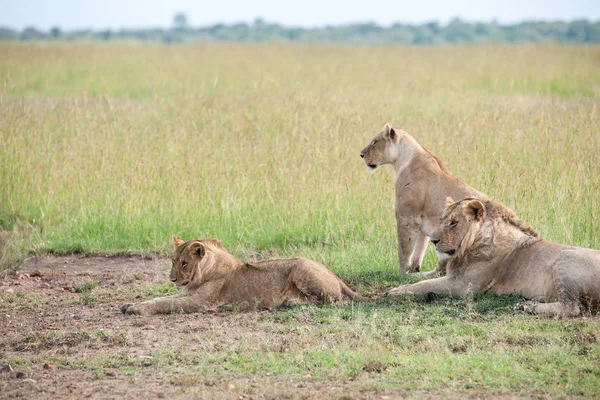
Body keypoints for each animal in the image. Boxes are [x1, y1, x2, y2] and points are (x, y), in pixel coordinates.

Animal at [119, 234, 368, 316]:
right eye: (172, 261)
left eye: (184, 263)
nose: (172, 280)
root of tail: (333, 273)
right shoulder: (187, 294)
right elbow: (161, 298)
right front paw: (129, 304)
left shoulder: (199, 302)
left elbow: (165, 304)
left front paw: (137, 310)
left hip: (301, 268)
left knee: (332, 301)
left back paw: (290, 302)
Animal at [360, 123, 488, 276]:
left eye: (374, 142)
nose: (361, 154)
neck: (402, 161)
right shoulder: (421, 222)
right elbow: (419, 248)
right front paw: (413, 268)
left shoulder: (407, 217)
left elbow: (404, 248)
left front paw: (401, 273)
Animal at [384, 197, 600, 316]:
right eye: (442, 220)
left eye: (453, 222)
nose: (434, 241)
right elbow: (422, 280)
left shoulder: (464, 286)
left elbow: (422, 285)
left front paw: (394, 292)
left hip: (566, 258)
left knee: (572, 307)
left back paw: (527, 307)